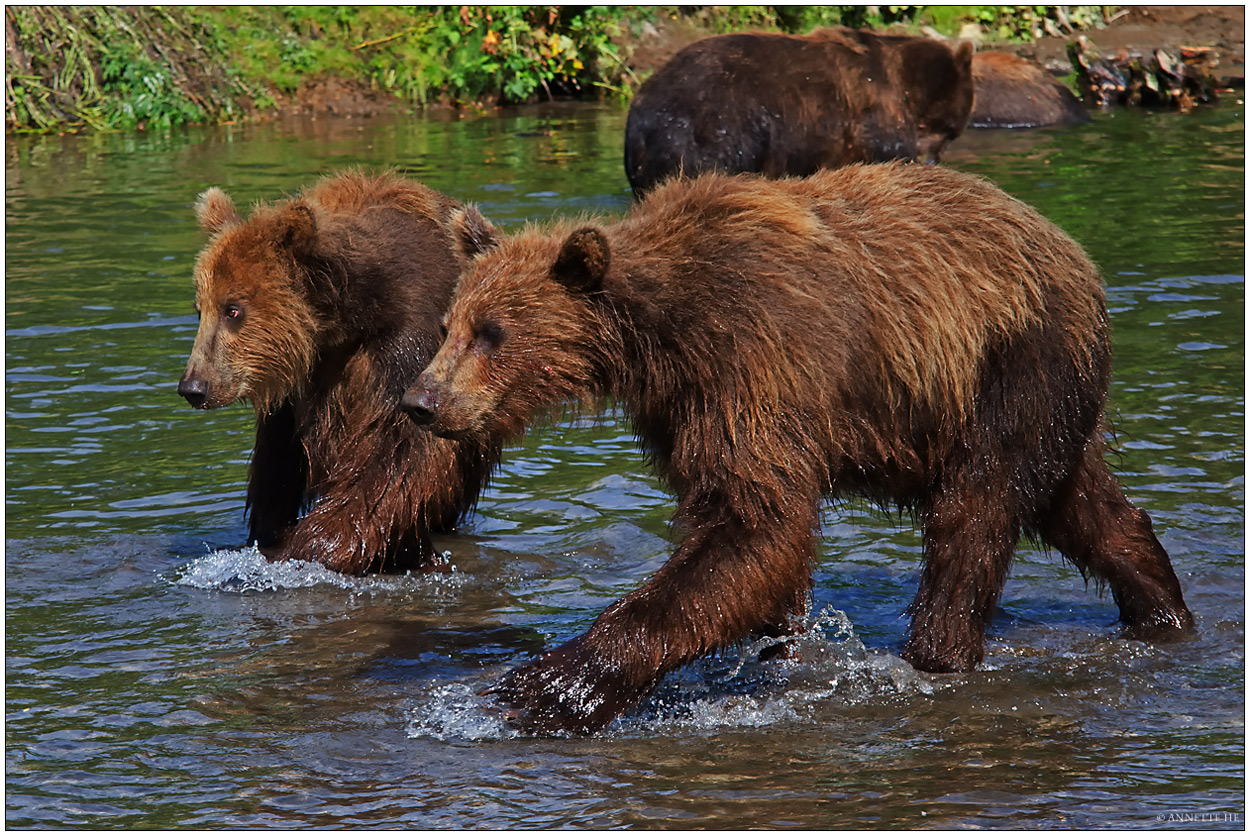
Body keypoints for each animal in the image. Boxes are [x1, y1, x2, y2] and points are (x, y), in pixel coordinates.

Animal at [178, 169, 500, 574]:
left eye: (232, 309)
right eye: (200, 308)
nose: (193, 386)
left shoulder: (411, 345)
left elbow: (398, 460)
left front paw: (307, 549)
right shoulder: (300, 386)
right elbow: (278, 466)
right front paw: (267, 536)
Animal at [405, 161, 1195, 729]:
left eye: (492, 333)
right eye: (449, 325)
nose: (421, 401)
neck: (662, 335)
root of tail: (1075, 253)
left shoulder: (756, 362)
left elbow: (757, 527)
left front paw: (551, 684)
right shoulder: (685, 412)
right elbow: (743, 537)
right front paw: (775, 656)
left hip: (1010, 365)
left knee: (975, 513)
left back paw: (936, 653)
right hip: (1028, 397)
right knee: (1084, 507)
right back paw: (1159, 608)